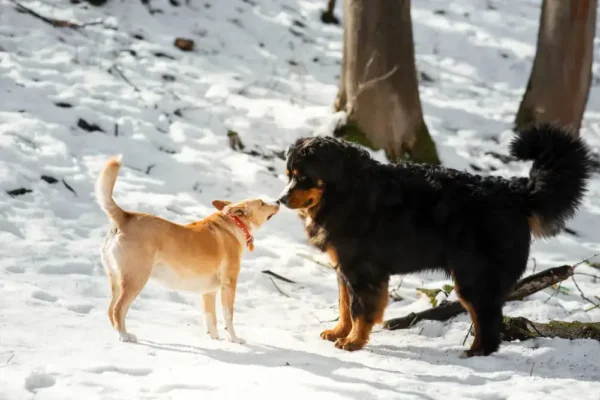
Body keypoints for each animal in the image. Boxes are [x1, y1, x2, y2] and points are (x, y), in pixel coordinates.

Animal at [95, 155, 280, 342]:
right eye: (262, 203)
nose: (279, 201)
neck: (235, 224)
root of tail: (125, 217)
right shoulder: (229, 285)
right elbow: (229, 316)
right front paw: (234, 339)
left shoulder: (209, 292)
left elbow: (211, 320)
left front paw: (215, 341)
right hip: (136, 278)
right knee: (118, 309)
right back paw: (124, 335)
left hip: (116, 280)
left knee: (110, 310)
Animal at [278, 123, 592, 354]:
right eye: (289, 174)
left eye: (303, 177)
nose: (280, 199)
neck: (344, 191)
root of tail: (515, 193)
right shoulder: (344, 270)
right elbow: (344, 307)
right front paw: (338, 332)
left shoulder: (362, 272)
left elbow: (360, 311)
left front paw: (354, 341)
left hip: (473, 278)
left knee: (488, 320)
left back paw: (476, 353)